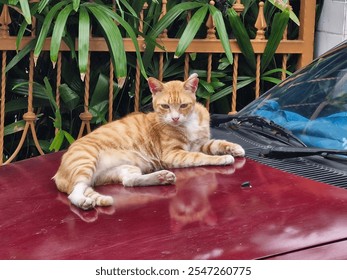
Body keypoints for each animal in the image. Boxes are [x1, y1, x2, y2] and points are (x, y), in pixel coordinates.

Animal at [53, 73, 246, 209]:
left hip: (125, 168)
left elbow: (217, 143)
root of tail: (59, 174)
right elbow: (201, 157)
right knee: (75, 191)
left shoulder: (199, 143)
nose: (175, 118)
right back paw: (84, 202)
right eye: (165, 106)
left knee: (129, 181)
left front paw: (235, 148)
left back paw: (161, 177)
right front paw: (223, 158)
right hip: (85, 162)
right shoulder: (174, 154)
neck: (187, 123)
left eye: (183, 106)